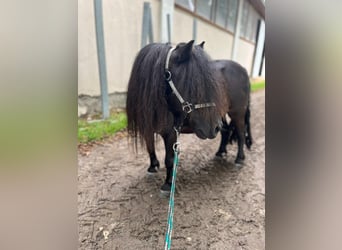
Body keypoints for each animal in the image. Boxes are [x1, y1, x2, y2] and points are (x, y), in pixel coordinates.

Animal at [126, 40, 251, 192]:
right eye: (193, 84)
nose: (212, 129)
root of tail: (243, 70)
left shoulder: (171, 133)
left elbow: (170, 159)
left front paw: (168, 184)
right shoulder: (147, 129)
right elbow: (150, 147)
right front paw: (153, 167)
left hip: (237, 113)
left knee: (240, 133)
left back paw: (239, 159)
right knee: (226, 131)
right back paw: (220, 152)